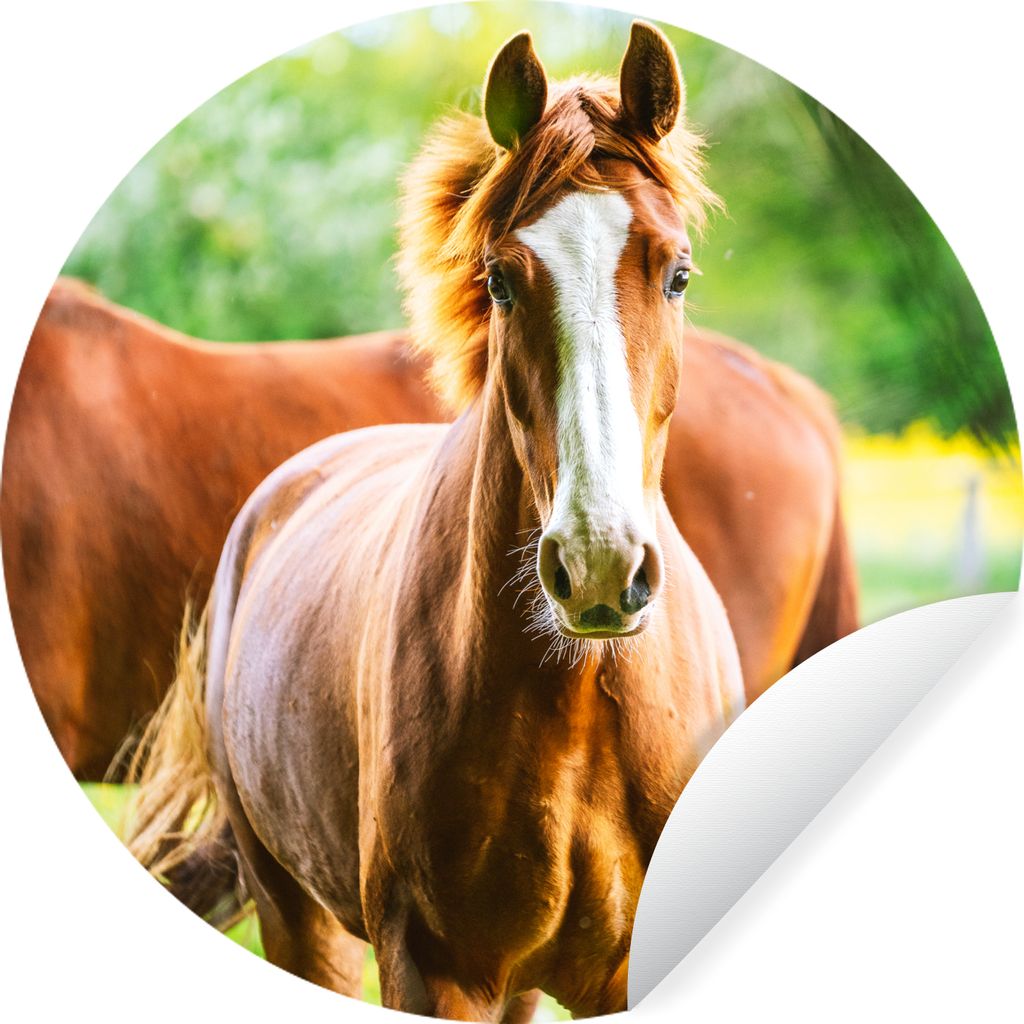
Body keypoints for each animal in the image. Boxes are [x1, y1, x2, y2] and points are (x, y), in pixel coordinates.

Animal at [126, 22, 760, 1018]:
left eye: (679, 274)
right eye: (499, 279)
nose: (599, 565)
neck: (577, 702)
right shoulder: (436, 968)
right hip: (297, 916)